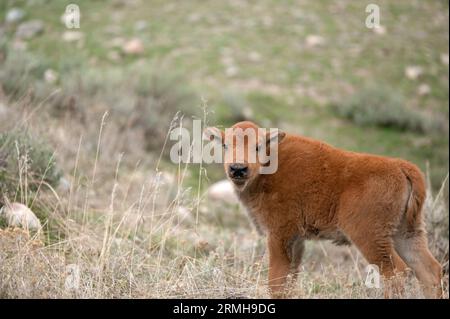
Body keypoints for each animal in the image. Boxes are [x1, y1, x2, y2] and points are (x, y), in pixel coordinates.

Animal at [205, 121, 442, 298]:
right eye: (225, 145)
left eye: (258, 146)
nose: (238, 169)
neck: (269, 167)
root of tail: (402, 167)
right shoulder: (296, 240)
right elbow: (290, 277)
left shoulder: (279, 235)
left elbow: (277, 281)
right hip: (406, 232)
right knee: (429, 270)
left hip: (370, 237)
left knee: (395, 272)